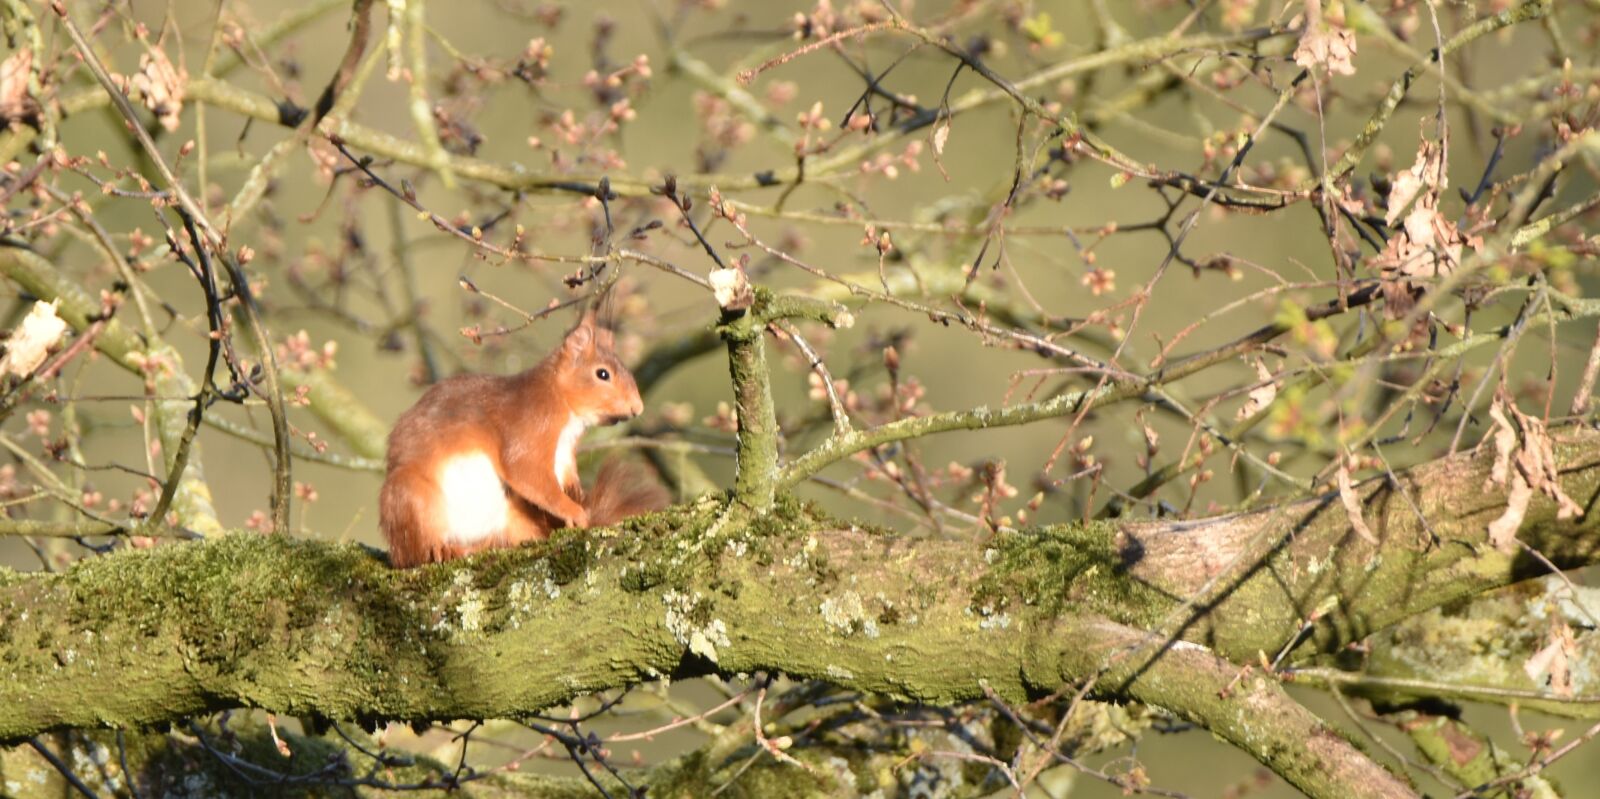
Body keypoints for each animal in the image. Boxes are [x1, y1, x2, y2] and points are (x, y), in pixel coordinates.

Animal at [379, 307, 668, 568]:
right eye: (603, 374)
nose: (637, 407)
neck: (562, 403)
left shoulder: (564, 455)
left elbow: (566, 481)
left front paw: (580, 501)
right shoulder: (528, 427)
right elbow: (527, 472)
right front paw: (575, 511)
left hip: (513, 516)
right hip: (413, 499)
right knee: (413, 553)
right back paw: (442, 549)